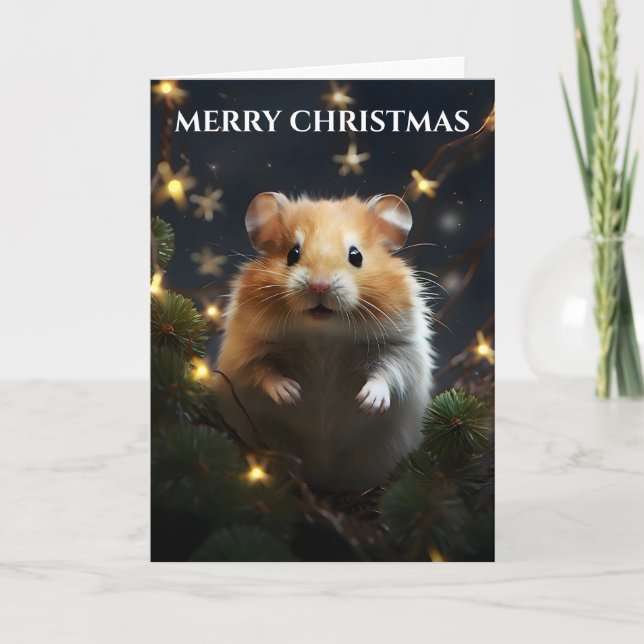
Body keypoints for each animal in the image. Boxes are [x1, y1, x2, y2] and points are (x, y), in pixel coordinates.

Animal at [214, 193, 434, 491]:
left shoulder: (401, 347)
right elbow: (264, 372)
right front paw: (291, 394)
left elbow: (387, 373)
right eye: (292, 254)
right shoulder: (247, 350)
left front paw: (368, 403)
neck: (324, 334)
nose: (320, 286)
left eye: (356, 256)